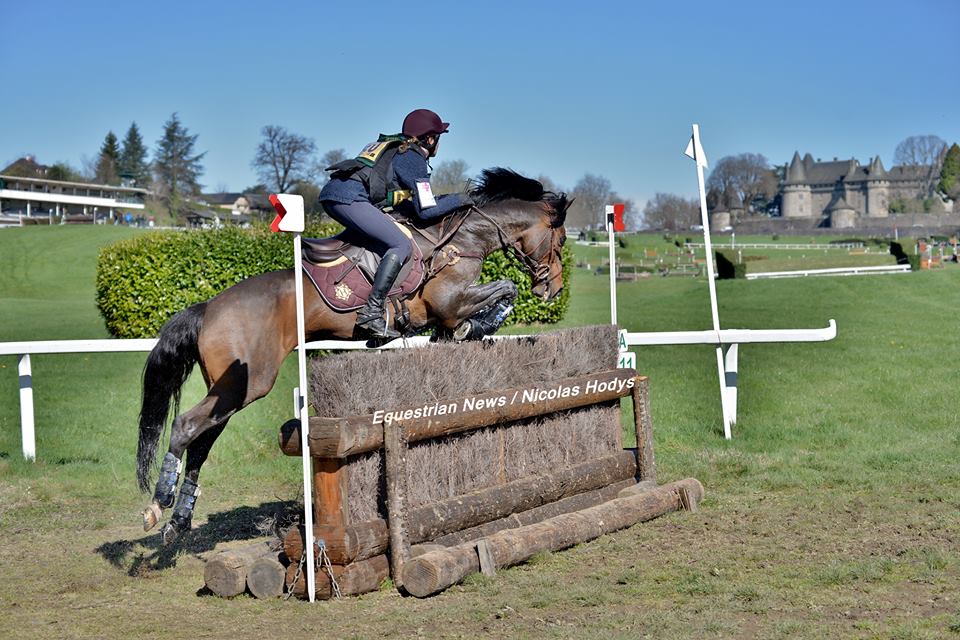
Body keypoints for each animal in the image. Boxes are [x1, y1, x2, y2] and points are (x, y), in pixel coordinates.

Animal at [135, 168, 568, 544]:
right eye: (561, 241)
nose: (554, 290)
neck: (462, 240)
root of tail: (208, 308)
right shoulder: (450, 302)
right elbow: (506, 288)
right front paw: (478, 324)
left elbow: (489, 301)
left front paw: (467, 331)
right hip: (248, 383)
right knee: (185, 427)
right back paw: (158, 504)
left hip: (228, 388)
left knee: (202, 442)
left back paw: (178, 520)